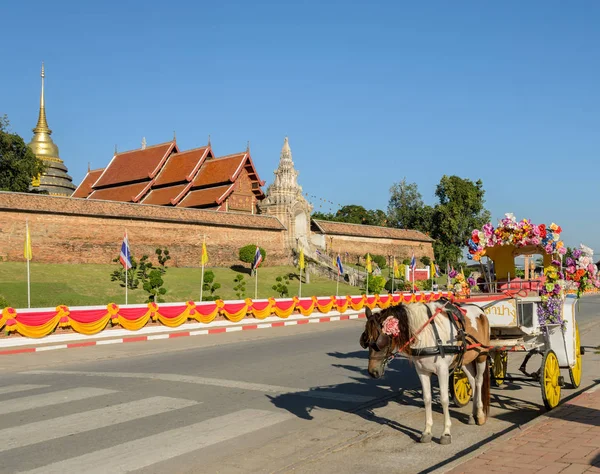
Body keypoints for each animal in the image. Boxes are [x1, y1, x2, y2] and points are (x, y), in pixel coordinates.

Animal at [358, 300, 490, 444]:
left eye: (380, 341)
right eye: (365, 341)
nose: (372, 372)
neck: (428, 335)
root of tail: (480, 309)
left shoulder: (443, 370)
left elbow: (444, 399)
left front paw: (446, 432)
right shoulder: (422, 371)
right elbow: (427, 399)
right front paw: (427, 432)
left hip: (481, 355)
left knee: (478, 381)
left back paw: (480, 415)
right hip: (465, 359)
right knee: (472, 380)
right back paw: (473, 414)